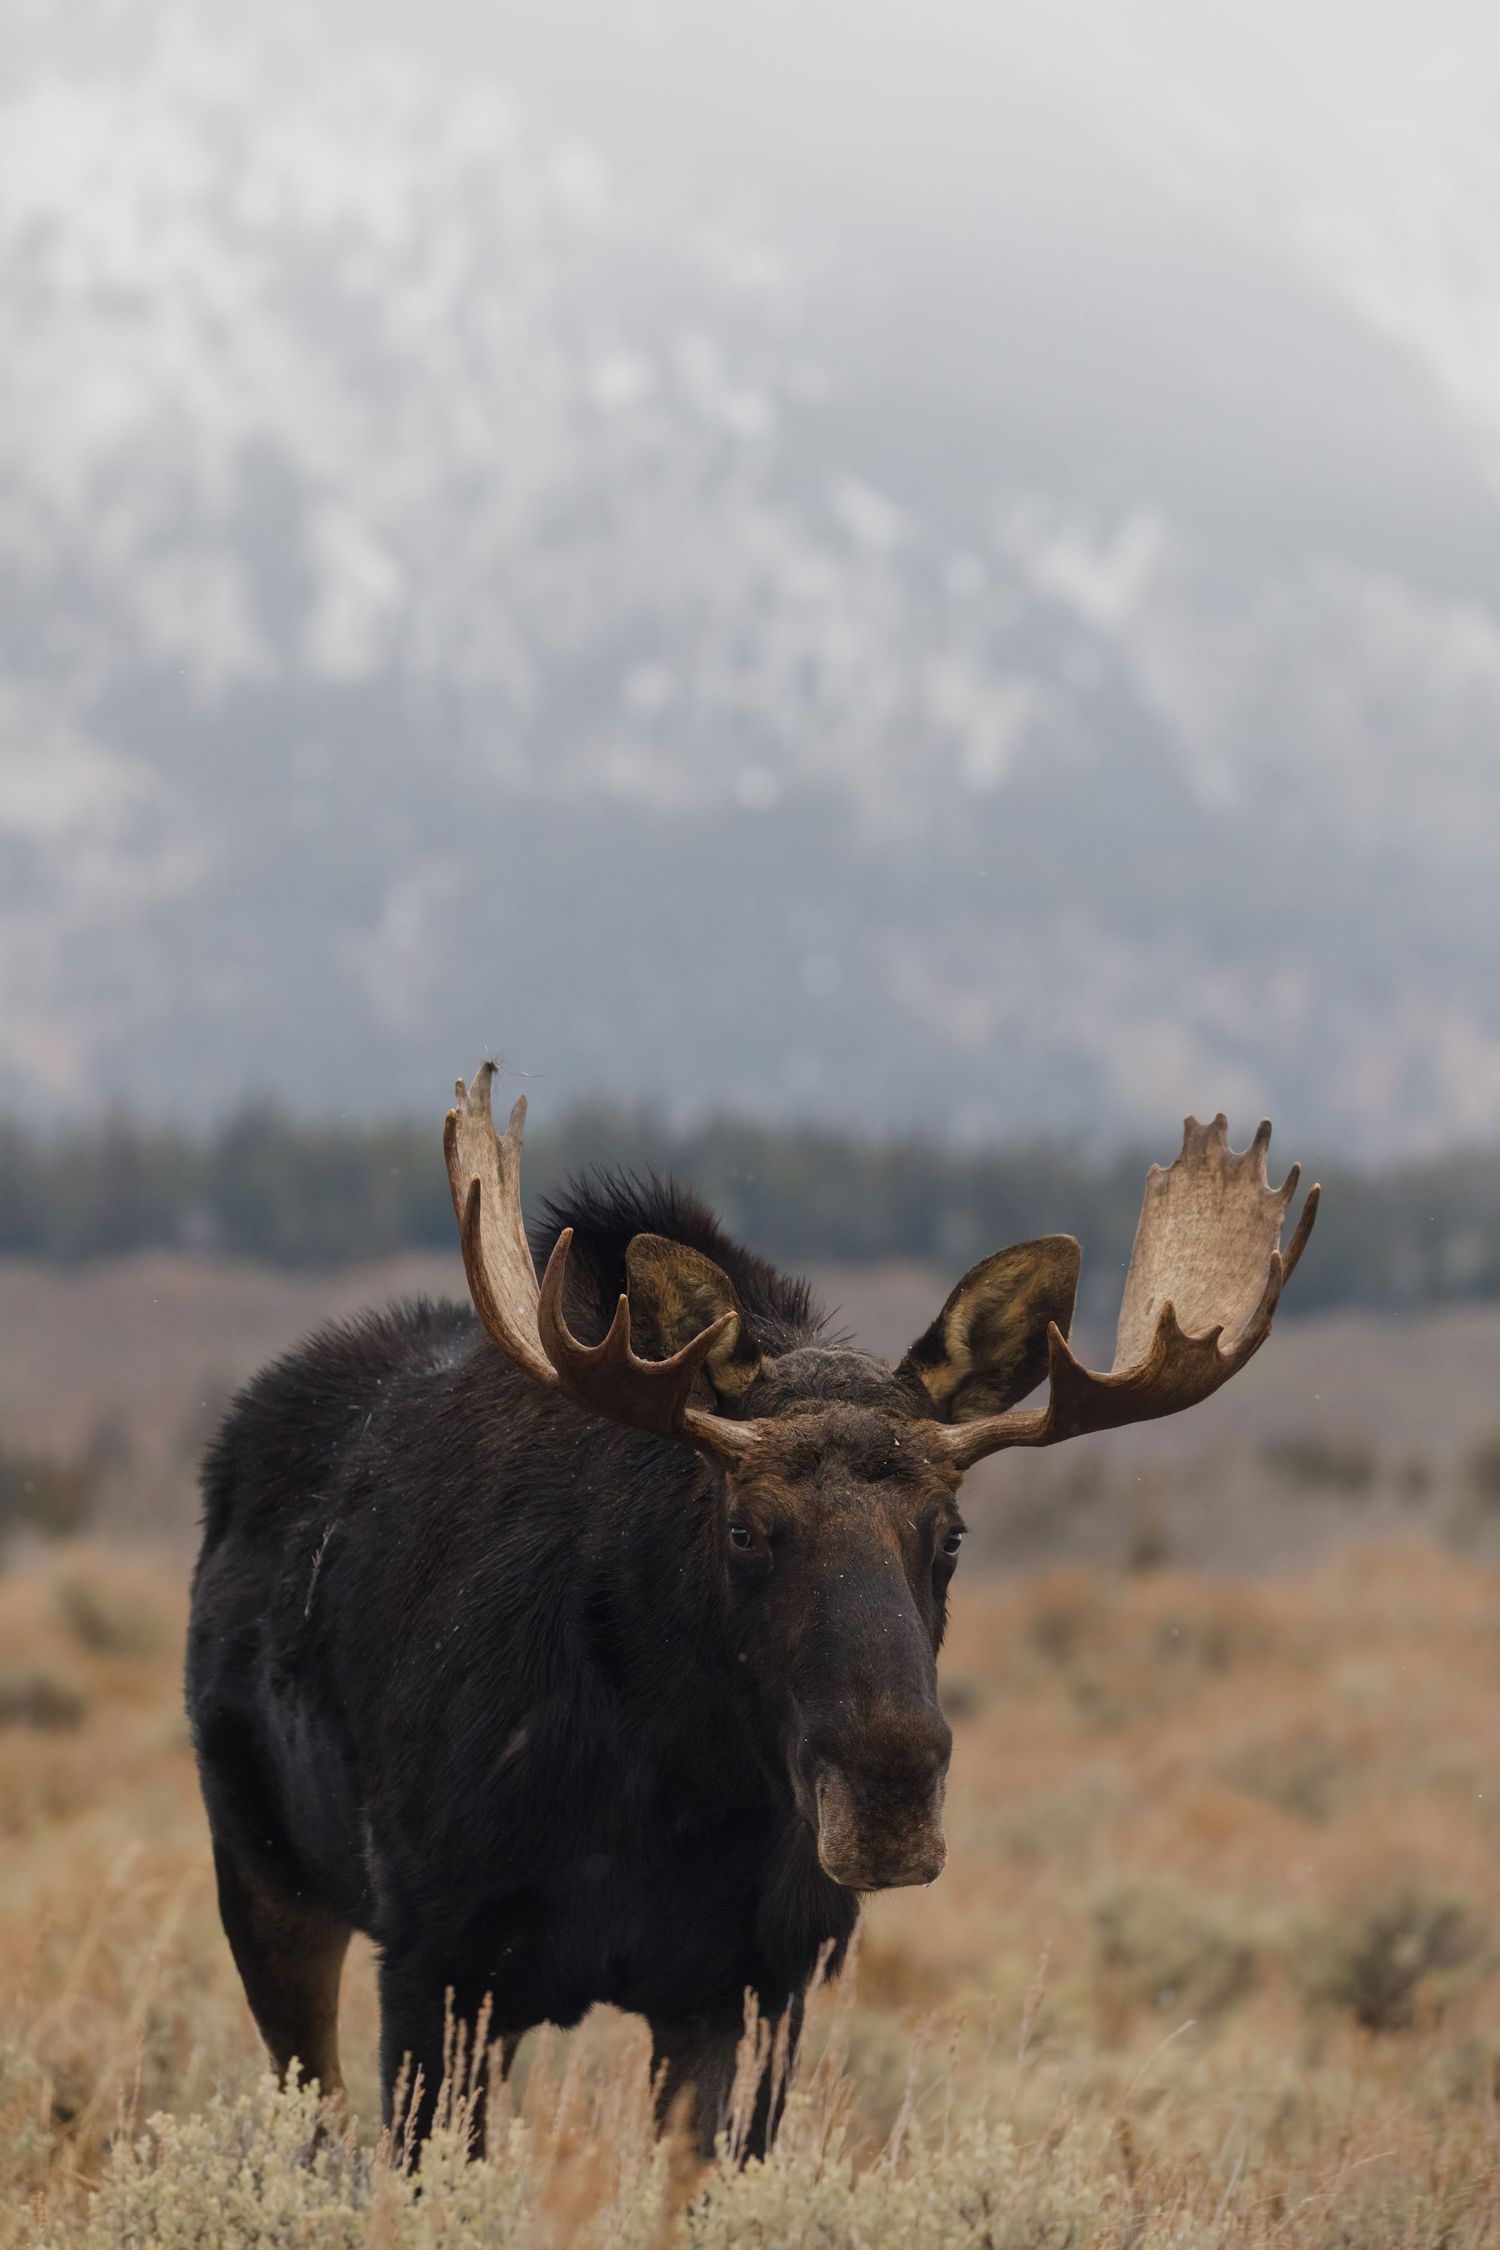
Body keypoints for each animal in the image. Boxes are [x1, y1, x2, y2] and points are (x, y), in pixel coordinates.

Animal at [186, 1068, 1317, 2158]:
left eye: (952, 1534)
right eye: (744, 1529)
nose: (889, 1792)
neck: (675, 1783)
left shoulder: (756, 1982)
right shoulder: (433, 1957)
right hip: (266, 1879)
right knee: (312, 2121)